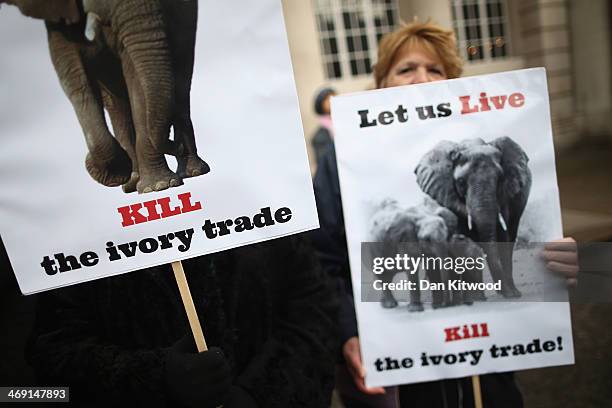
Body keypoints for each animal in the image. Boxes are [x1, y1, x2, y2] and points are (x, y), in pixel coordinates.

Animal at [1, 0, 209, 193]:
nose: (176, 145)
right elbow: (70, 70)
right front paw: (120, 171)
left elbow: (134, 76)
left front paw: (159, 186)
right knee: (116, 101)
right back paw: (132, 182)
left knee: (181, 80)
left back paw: (190, 171)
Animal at [416, 136, 532, 296]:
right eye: (460, 182)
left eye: (500, 178)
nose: (506, 293)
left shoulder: (505, 196)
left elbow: (502, 235)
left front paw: (511, 295)